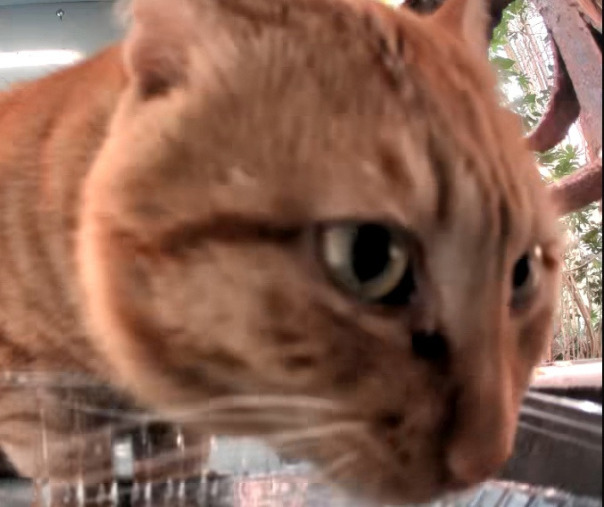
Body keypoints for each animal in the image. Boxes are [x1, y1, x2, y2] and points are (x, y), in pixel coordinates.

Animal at [0, 0, 562, 504]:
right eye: (369, 257)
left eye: (522, 273)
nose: (486, 460)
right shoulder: (40, 397)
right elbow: (79, 471)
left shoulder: (170, 427)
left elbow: (175, 464)